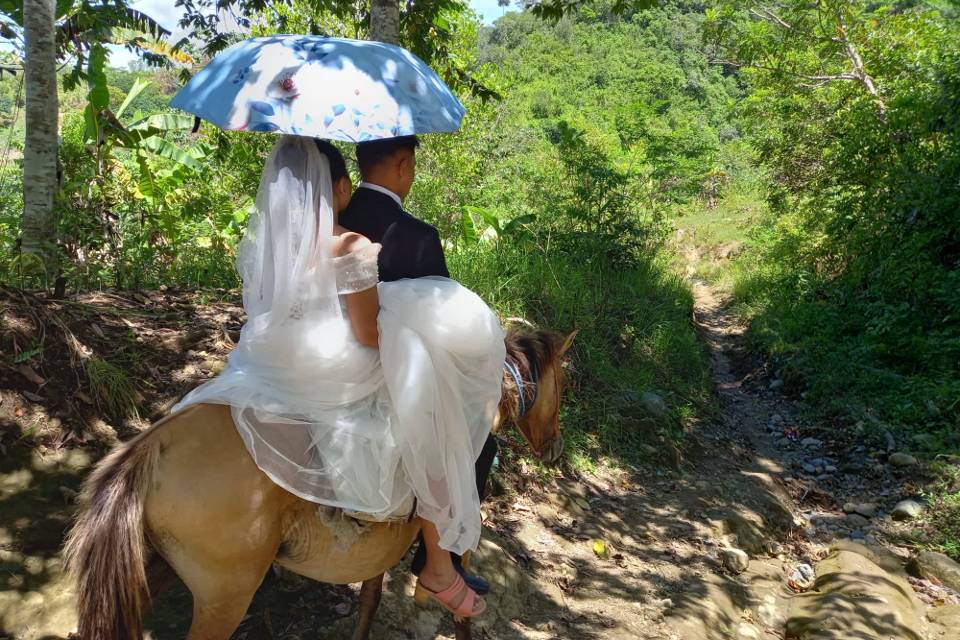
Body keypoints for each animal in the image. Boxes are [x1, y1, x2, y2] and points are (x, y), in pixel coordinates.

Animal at [67, 330, 576, 640]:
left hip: (152, 567)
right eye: (563, 384)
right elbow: (458, 609)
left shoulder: (380, 548)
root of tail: (152, 447)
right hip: (222, 597)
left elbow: (370, 599)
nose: (556, 450)